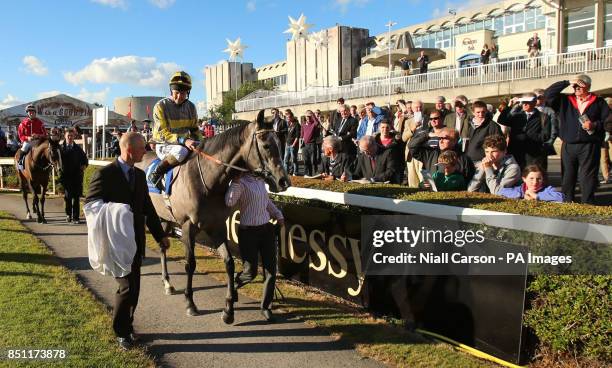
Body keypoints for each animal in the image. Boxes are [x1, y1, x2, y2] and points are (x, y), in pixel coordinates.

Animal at [137, 109, 290, 322]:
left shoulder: (216, 226)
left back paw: (167, 282)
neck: (208, 182)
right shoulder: (187, 226)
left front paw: (229, 308)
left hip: (164, 218)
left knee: (162, 246)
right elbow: (190, 264)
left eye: (281, 144)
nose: (284, 181)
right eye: (266, 145)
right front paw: (190, 303)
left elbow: (229, 263)